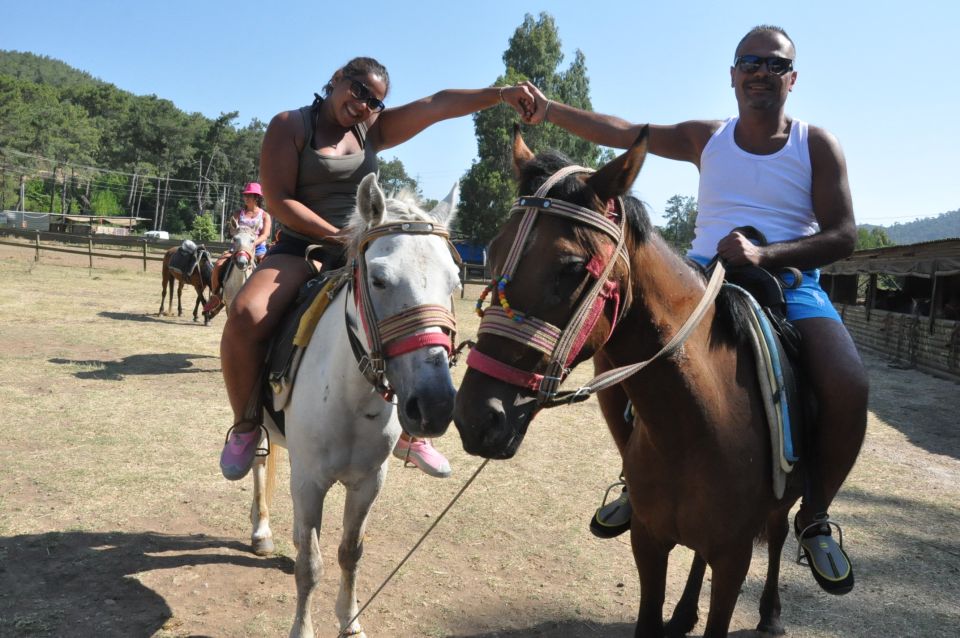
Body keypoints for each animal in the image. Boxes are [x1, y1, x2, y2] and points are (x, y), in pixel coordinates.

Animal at [251, 175, 462, 638]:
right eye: (379, 279)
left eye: (455, 283)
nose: (435, 405)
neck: (350, 397)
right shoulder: (310, 482)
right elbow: (310, 566)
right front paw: (303, 630)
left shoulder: (368, 482)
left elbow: (350, 552)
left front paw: (350, 623)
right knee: (257, 460)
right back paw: (260, 529)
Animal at [454, 129, 868, 636]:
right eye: (492, 253)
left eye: (572, 268)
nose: (476, 418)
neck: (694, 428)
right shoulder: (648, 541)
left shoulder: (733, 558)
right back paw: (685, 611)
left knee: (776, 537)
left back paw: (773, 608)